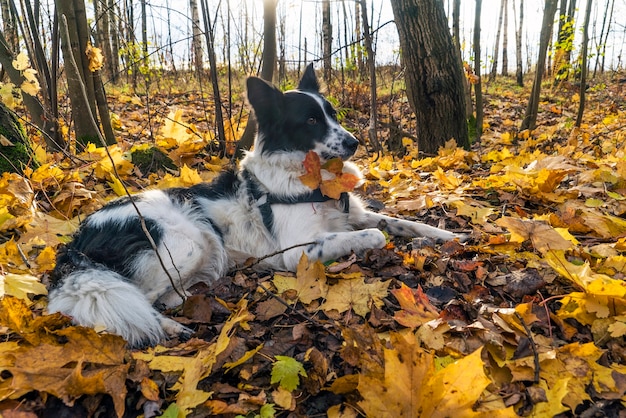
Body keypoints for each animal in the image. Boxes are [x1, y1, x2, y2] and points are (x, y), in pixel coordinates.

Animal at [47, 64, 458, 346]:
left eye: (333, 114)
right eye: (311, 120)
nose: (355, 142)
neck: (309, 177)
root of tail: (77, 241)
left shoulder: (351, 212)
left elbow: (399, 221)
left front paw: (451, 235)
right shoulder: (297, 252)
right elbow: (375, 234)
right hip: (183, 242)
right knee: (137, 299)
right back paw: (169, 327)